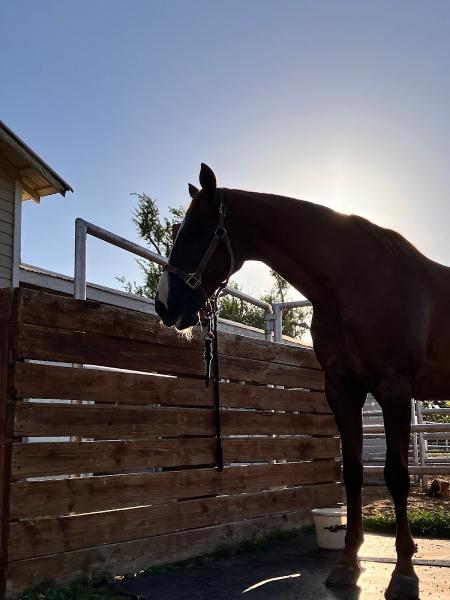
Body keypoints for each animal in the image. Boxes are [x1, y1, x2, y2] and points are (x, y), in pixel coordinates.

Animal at [156, 164, 450, 600]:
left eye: (194, 231)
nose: (164, 304)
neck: (356, 283)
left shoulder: (394, 388)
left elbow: (397, 476)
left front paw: (403, 574)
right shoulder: (342, 390)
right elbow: (352, 473)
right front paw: (347, 565)